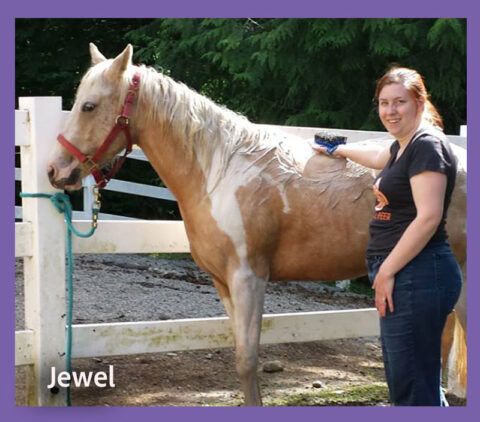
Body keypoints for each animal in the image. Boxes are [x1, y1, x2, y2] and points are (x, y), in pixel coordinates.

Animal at [47, 44, 467, 406]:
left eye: (89, 106)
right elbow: (240, 353)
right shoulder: (224, 283)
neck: (220, 172)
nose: (55, 171)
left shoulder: (249, 278)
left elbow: (247, 361)